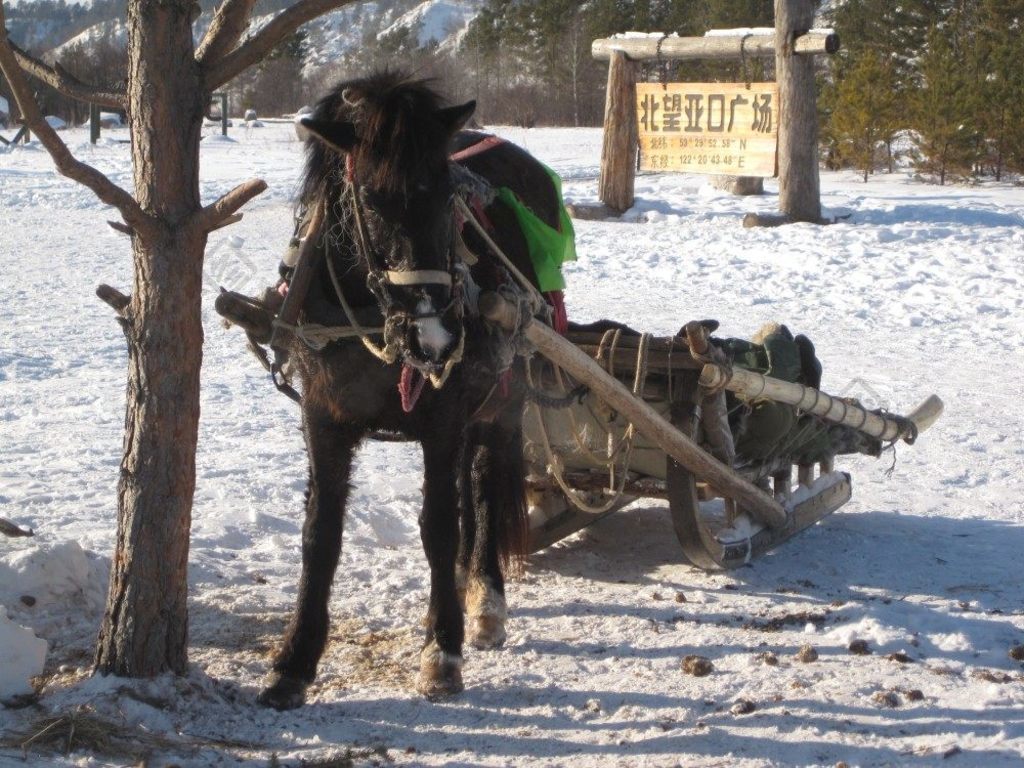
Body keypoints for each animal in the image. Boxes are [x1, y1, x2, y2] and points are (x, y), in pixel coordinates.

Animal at [251, 75, 565, 712]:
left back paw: (486, 599)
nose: (436, 335)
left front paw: (441, 651)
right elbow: (320, 534)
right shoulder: (323, 419)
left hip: (504, 400)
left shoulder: (441, 420)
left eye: (446, 197)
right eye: (371, 198)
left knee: (484, 487)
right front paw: (294, 660)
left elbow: (438, 525)